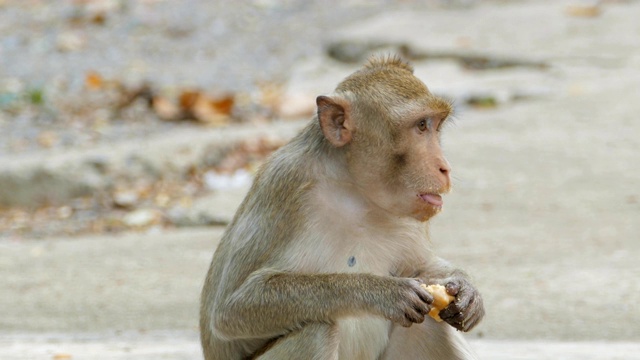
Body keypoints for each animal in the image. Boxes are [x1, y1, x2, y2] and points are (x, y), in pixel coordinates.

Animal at [200, 54, 484, 358]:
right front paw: (382, 292)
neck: (354, 191)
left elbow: (423, 267)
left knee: (429, 324)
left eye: (436, 125)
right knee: (317, 330)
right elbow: (230, 311)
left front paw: (466, 289)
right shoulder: (284, 185)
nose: (445, 168)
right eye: (421, 125)